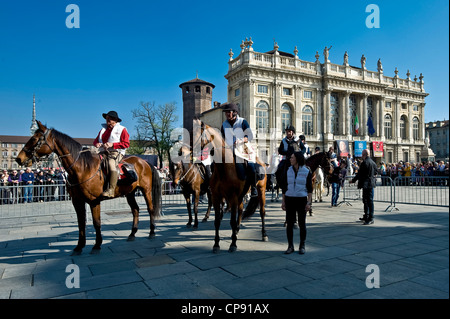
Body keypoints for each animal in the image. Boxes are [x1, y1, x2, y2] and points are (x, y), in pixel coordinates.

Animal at [15, 121, 162, 256]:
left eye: (35, 139)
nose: (18, 159)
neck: (82, 168)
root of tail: (144, 162)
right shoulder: (77, 201)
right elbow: (81, 222)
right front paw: (79, 246)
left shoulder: (93, 201)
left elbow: (96, 222)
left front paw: (97, 245)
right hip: (129, 193)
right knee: (135, 210)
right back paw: (132, 234)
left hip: (146, 190)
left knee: (150, 209)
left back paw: (152, 232)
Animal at [200, 120, 268, 252]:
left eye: (200, 135)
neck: (224, 168)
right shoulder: (217, 197)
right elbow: (217, 220)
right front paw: (216, 244)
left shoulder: (232, 197)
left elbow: (231, 220)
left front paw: (233, 244)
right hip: (241, 196)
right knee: (241, 211)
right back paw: (236, 231)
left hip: (261, 191)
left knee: (262, 212)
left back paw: (264, 234)